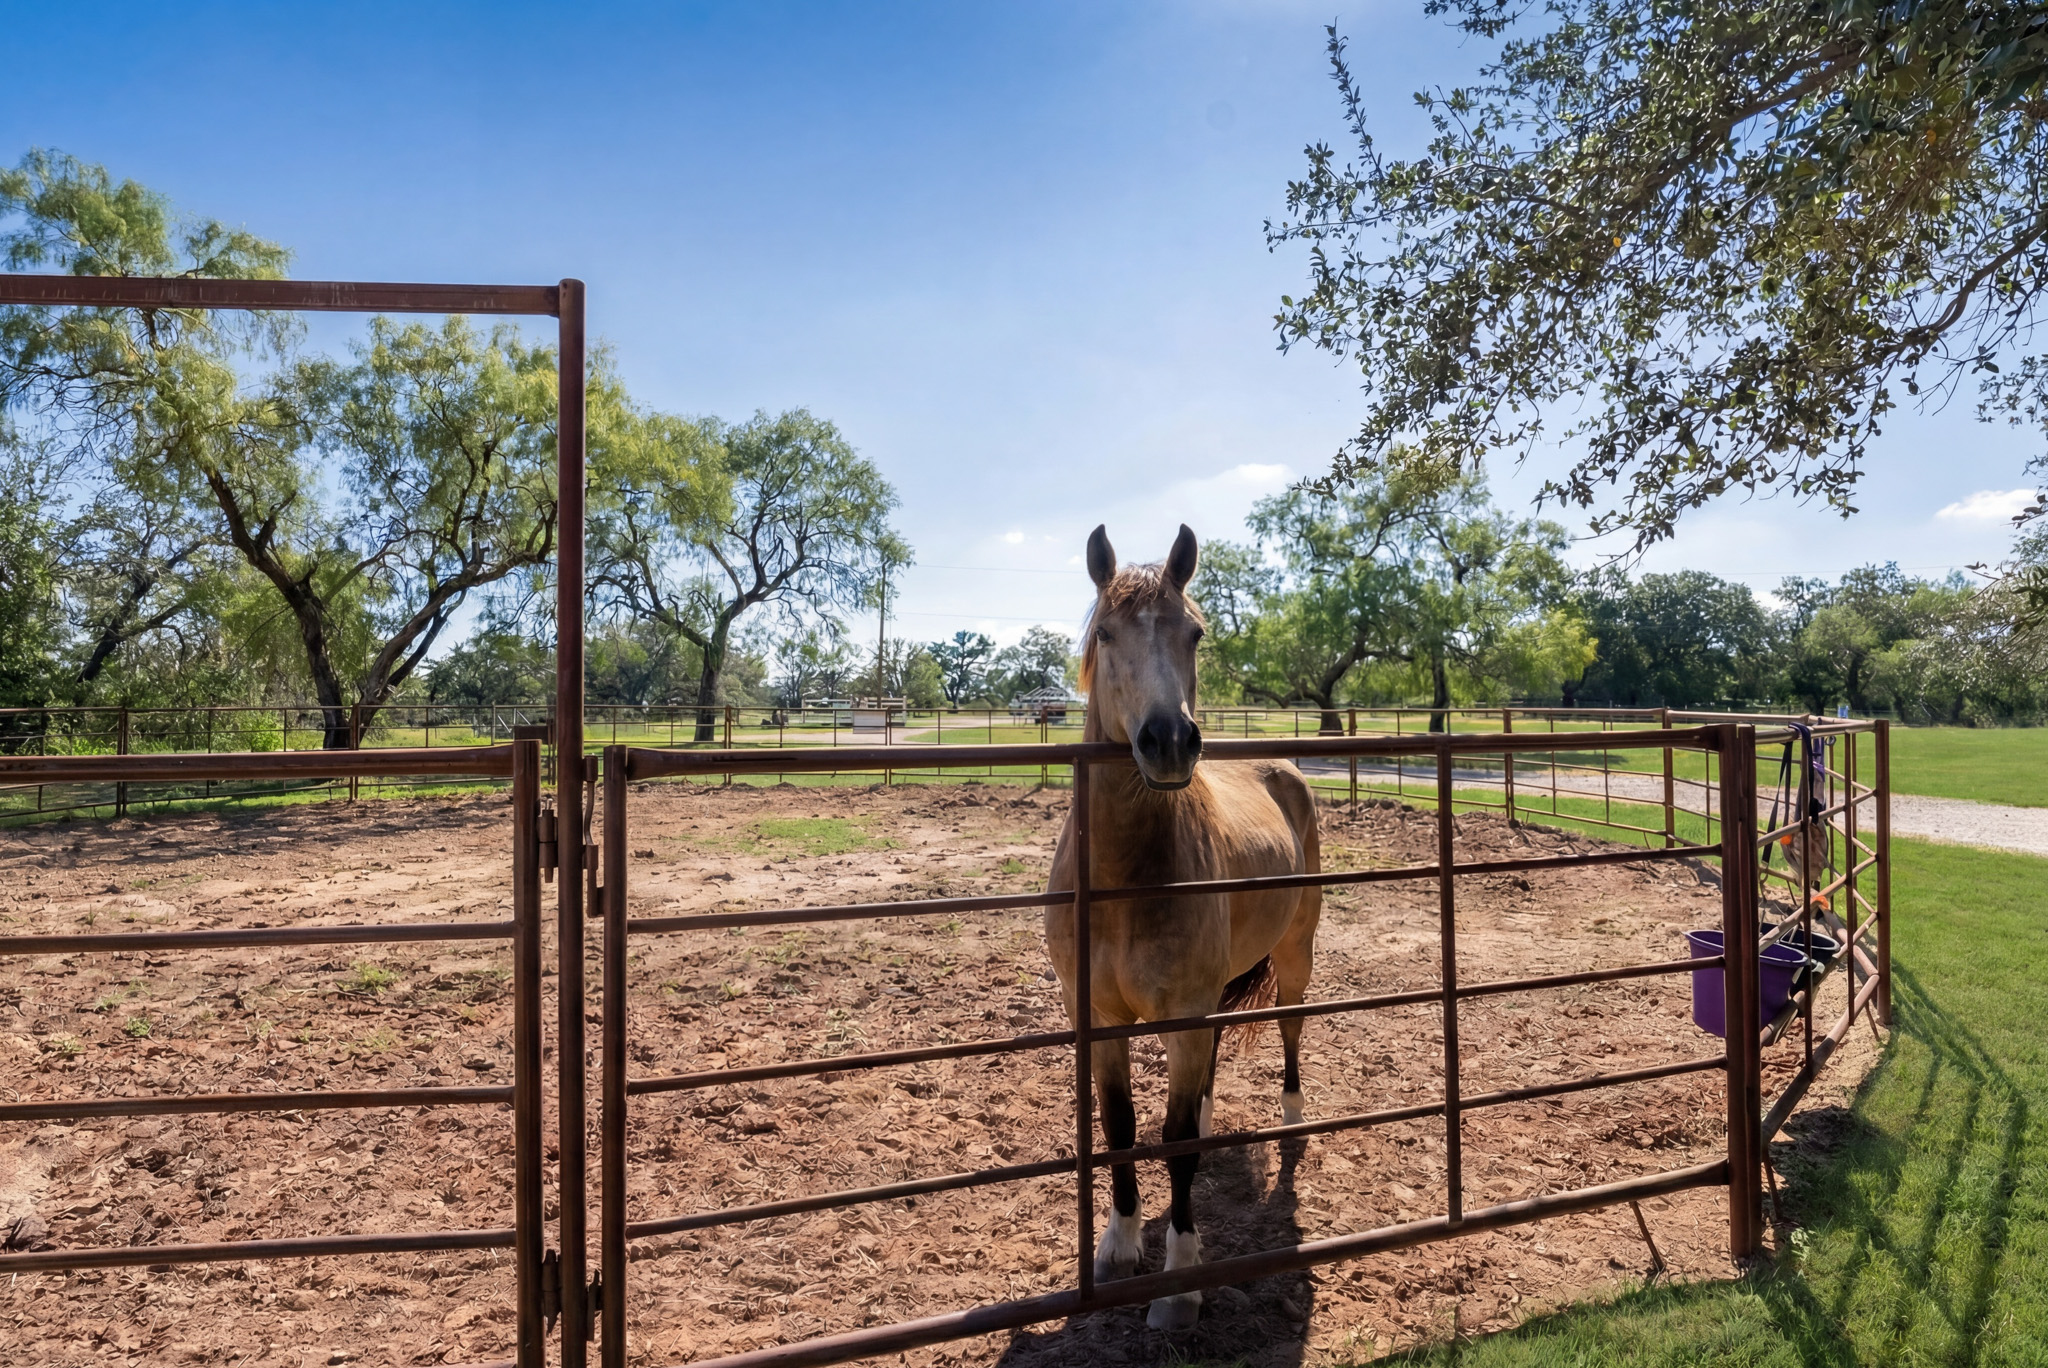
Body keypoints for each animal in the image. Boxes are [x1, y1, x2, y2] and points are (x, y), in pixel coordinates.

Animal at [1044, 522, 1324, 1331]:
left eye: (1193, 632)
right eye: (1106, 633)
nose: (1170, 740)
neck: (1125, 882)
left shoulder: (1184, 1012)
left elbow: (1173, 1147)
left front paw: (1180, 1279)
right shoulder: (1096, 1016)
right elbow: (1119, 1126)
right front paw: (1118, 1243)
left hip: (1294, 954)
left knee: (1290, 1023)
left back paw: (1291, 1112)